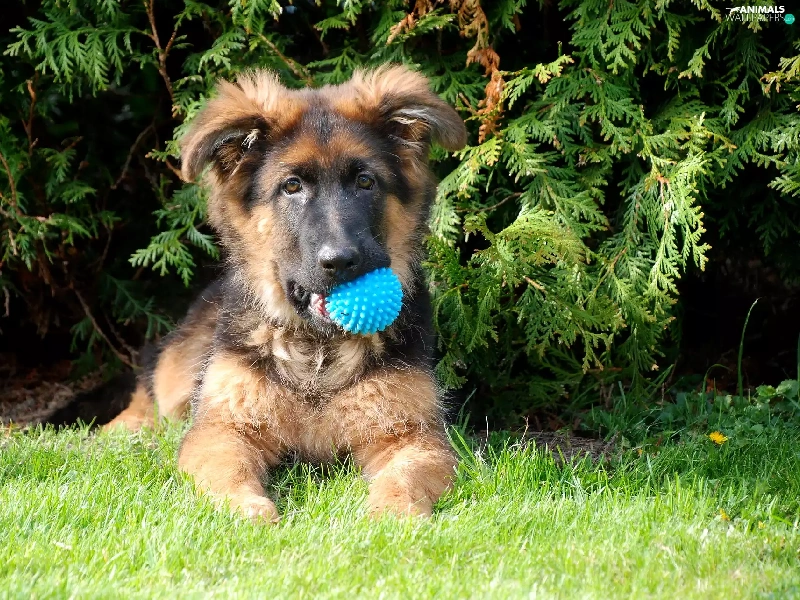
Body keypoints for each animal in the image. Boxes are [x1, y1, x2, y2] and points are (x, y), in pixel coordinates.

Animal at [53, 65, 467, 521]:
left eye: (365, 182)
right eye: (291, 186)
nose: (341, 261)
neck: (316, 351)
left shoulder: (413, 436)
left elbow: (404, 478)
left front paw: (390, 516)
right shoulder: (221, 428)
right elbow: (227, 470)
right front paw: (247, 509)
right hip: (177, 374)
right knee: (147, 401)